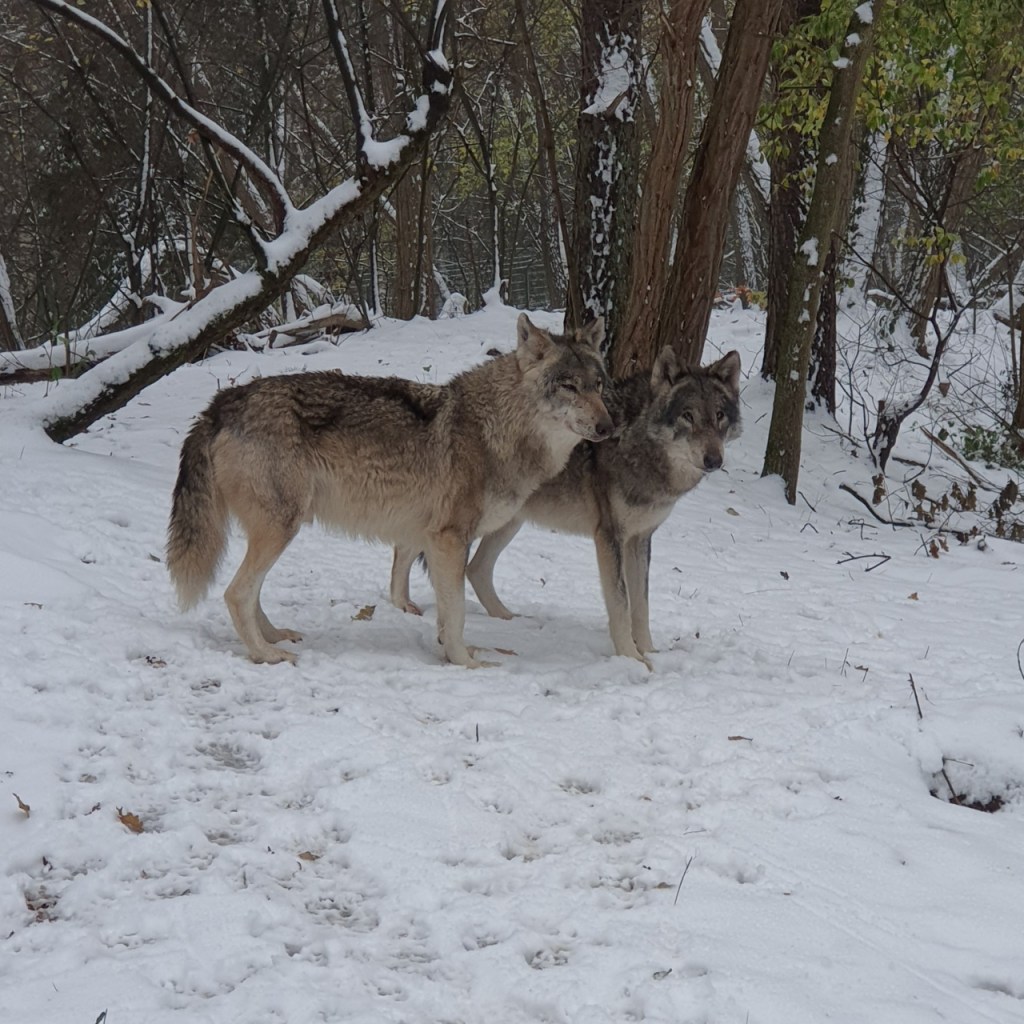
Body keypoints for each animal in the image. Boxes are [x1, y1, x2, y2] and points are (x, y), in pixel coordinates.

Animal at [166, 314, 613, 667]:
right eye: (569, 387)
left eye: (598, 385)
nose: (609, 428)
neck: (496, 428)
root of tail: (223, 401)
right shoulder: (448, 539)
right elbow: (456, 614)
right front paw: (466, 662)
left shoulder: (433, 539)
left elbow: (443, 612)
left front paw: (449, 650)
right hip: (280, 529)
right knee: (236, 593)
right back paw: (267, 654)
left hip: (277, 530)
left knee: (252, 591)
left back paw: (274, 636)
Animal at [390, 347, 741, 667]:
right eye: (688, 416)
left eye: (719, 416)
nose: (714, 460)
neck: (636, 441)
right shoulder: (609, 537)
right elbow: (621, 604)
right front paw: (631, 657)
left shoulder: (640, 539)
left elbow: (642, 606)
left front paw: (650, 652)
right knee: (407, 550)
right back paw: (401, 605)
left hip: (507, 521)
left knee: (475, 569)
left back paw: (508, 619)